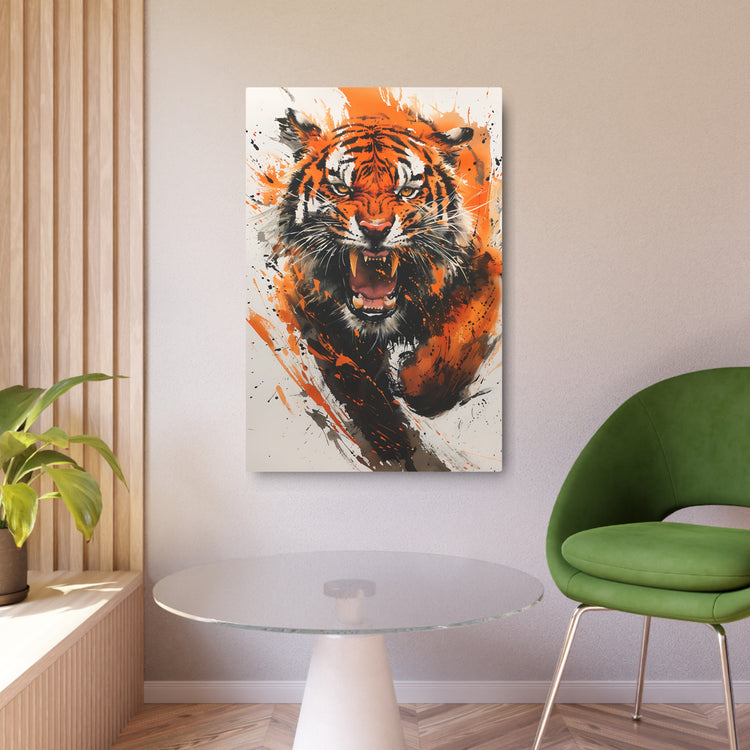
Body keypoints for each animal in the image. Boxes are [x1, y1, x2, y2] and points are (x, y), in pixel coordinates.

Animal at [269, 108, 501, 470]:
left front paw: (416, 383)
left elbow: (462, 337)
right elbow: (361, 389)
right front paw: (392, 446)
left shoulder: (485, 266)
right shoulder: (311, 308)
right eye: (342, 188)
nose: (375, 230)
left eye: (406, 191)